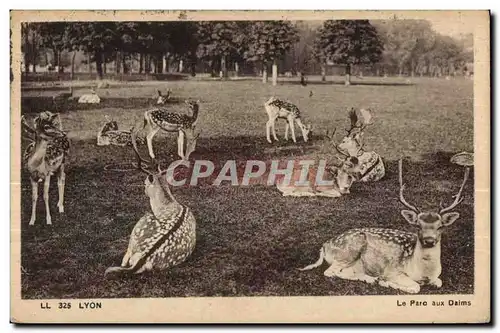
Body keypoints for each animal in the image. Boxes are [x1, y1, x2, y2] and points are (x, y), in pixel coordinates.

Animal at [104, 134, 196, 276]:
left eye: (145, 183)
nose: (145, 190)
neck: (166, 205)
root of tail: (143, 259)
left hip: (138, 228)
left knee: (125, 259)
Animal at [298, 158, 470, 294]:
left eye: (440, 226)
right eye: (417, 226)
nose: (429, 240)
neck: (423, 273)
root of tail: (325, 245)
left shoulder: (436, 277)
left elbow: (439, 282)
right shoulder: (394, 271)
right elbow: (415, 287)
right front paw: (385, 282)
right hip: (347, 252)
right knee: (330, 272)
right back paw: (374, 279)